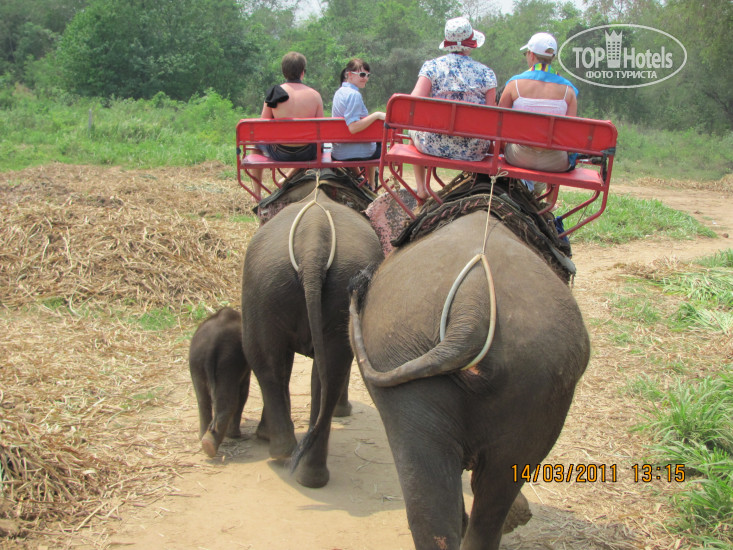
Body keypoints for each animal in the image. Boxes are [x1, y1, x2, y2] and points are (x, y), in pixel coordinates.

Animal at [189, 307, 251, 458]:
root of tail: (211, 345)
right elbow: (243, 393)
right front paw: (234, 435)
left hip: (197, 361)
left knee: (202, 400)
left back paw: (204, 439)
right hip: (228, 361)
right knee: (230, 401)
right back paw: (212, 443)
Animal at [241, 171, 384, 488]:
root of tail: (313, 241)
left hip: (267, 286)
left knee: (272, 363)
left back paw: (286, 455)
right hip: (275, 283)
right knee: (299, 368)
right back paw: (302, 467)